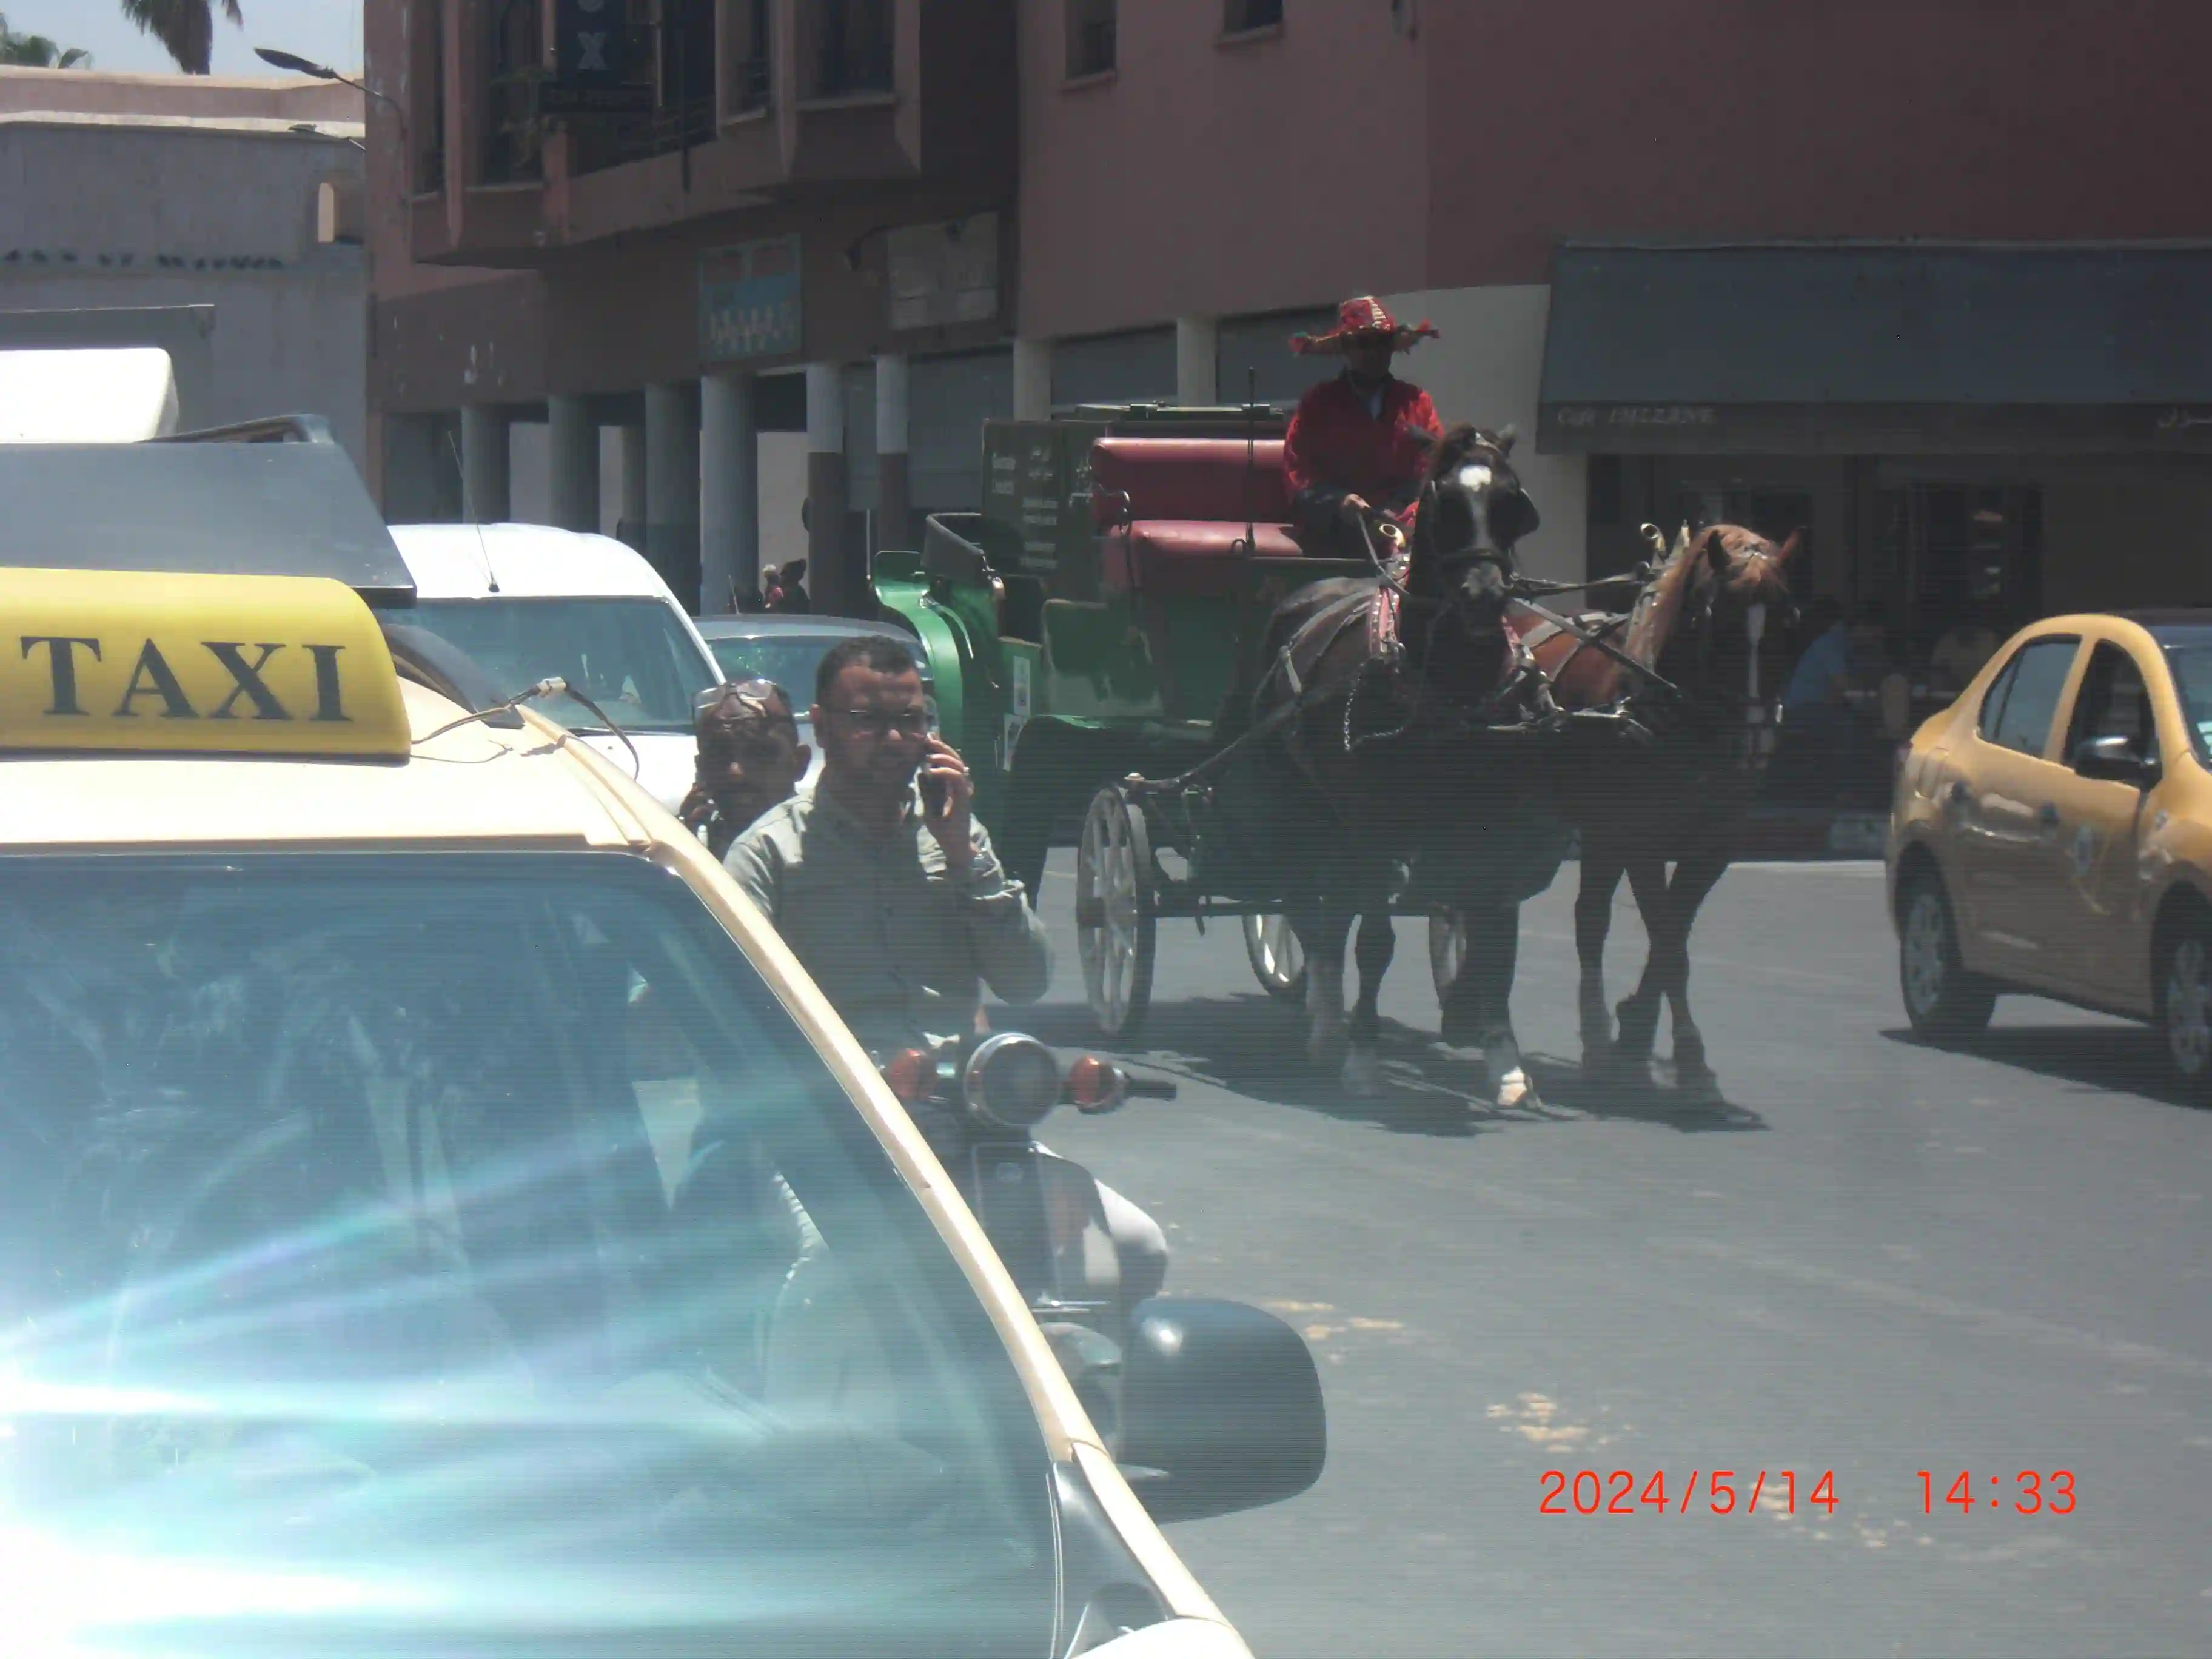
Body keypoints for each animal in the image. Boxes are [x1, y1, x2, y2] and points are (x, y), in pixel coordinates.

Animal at [1213, 424, 1547, 1101]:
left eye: (1513, 503)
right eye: (1446, 503)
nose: (1483, 595)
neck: (1450, 684)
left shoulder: (1496, 827)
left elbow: (1495, 943)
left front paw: (1504, 1060)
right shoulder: (1375, 825)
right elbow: (1375, 940)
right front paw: (1363, 1054)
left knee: (1329, 910)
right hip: (1308, 811)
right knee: (1312, 912)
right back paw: (1326, 1028)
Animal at [1511, 520, 1802, 1099]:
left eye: (1788, 622)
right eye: (1721, 624)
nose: (1756, 742)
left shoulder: (1714, 843)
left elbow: (1672, 934)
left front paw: (1642, 1031)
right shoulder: (1637, 836)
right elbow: (1667, 939)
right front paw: (1679, 1050)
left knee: (1588, 916)